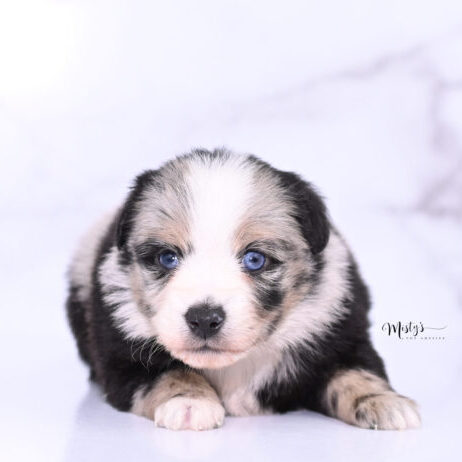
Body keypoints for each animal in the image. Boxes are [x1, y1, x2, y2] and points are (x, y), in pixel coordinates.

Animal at [67, 150, 420, 432]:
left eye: (254, 259)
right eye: (167, 257)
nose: (204, 319)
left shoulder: (339, 329)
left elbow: (355, 371)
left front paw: (385, 402)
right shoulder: (120, 350)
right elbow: (168, 372)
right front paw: (189, 402)